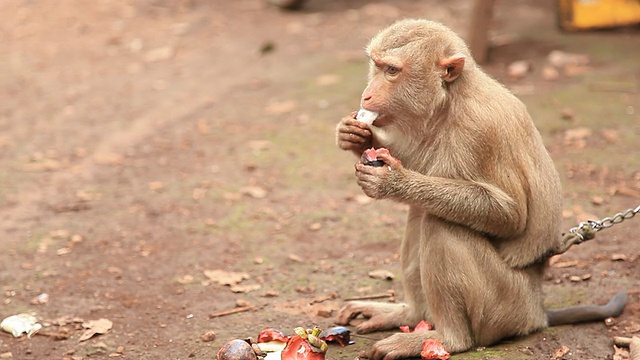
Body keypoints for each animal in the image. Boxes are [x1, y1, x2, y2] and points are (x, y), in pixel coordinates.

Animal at [336, 19, 632, 358]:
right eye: (377, 65)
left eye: (392, 71)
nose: (367, 96)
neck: (450, 99)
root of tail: (537, 310)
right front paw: (358, 138)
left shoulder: (479, 131)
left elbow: (510, 214)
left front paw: (392, 181)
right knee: (421, 211)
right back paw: (411, 315)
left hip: (505, 305)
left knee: (439, 224)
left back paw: (448, 338)